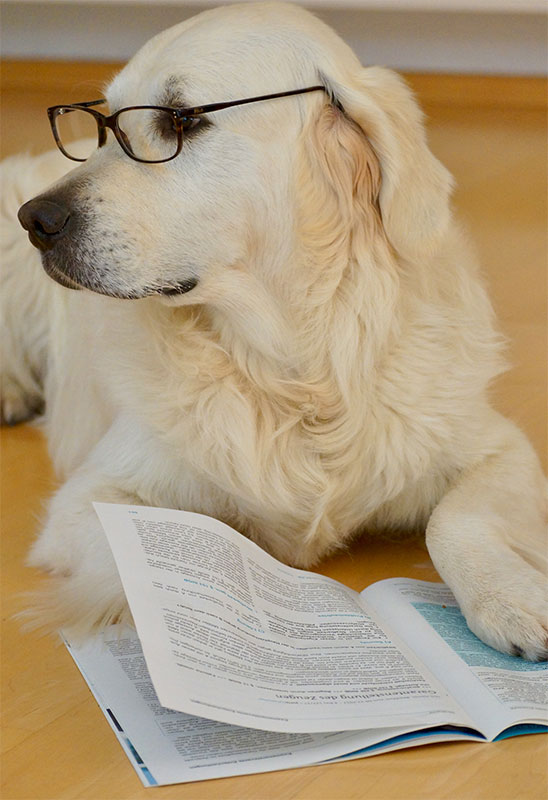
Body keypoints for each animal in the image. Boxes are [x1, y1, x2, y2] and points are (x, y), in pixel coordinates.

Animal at [2, 3, 544, 660]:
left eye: (180, 118)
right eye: (109, 123)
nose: (37, 220)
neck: (296, 367)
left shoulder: (495, 445)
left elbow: (454, 519)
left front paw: (512, 598)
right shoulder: (91, 496)